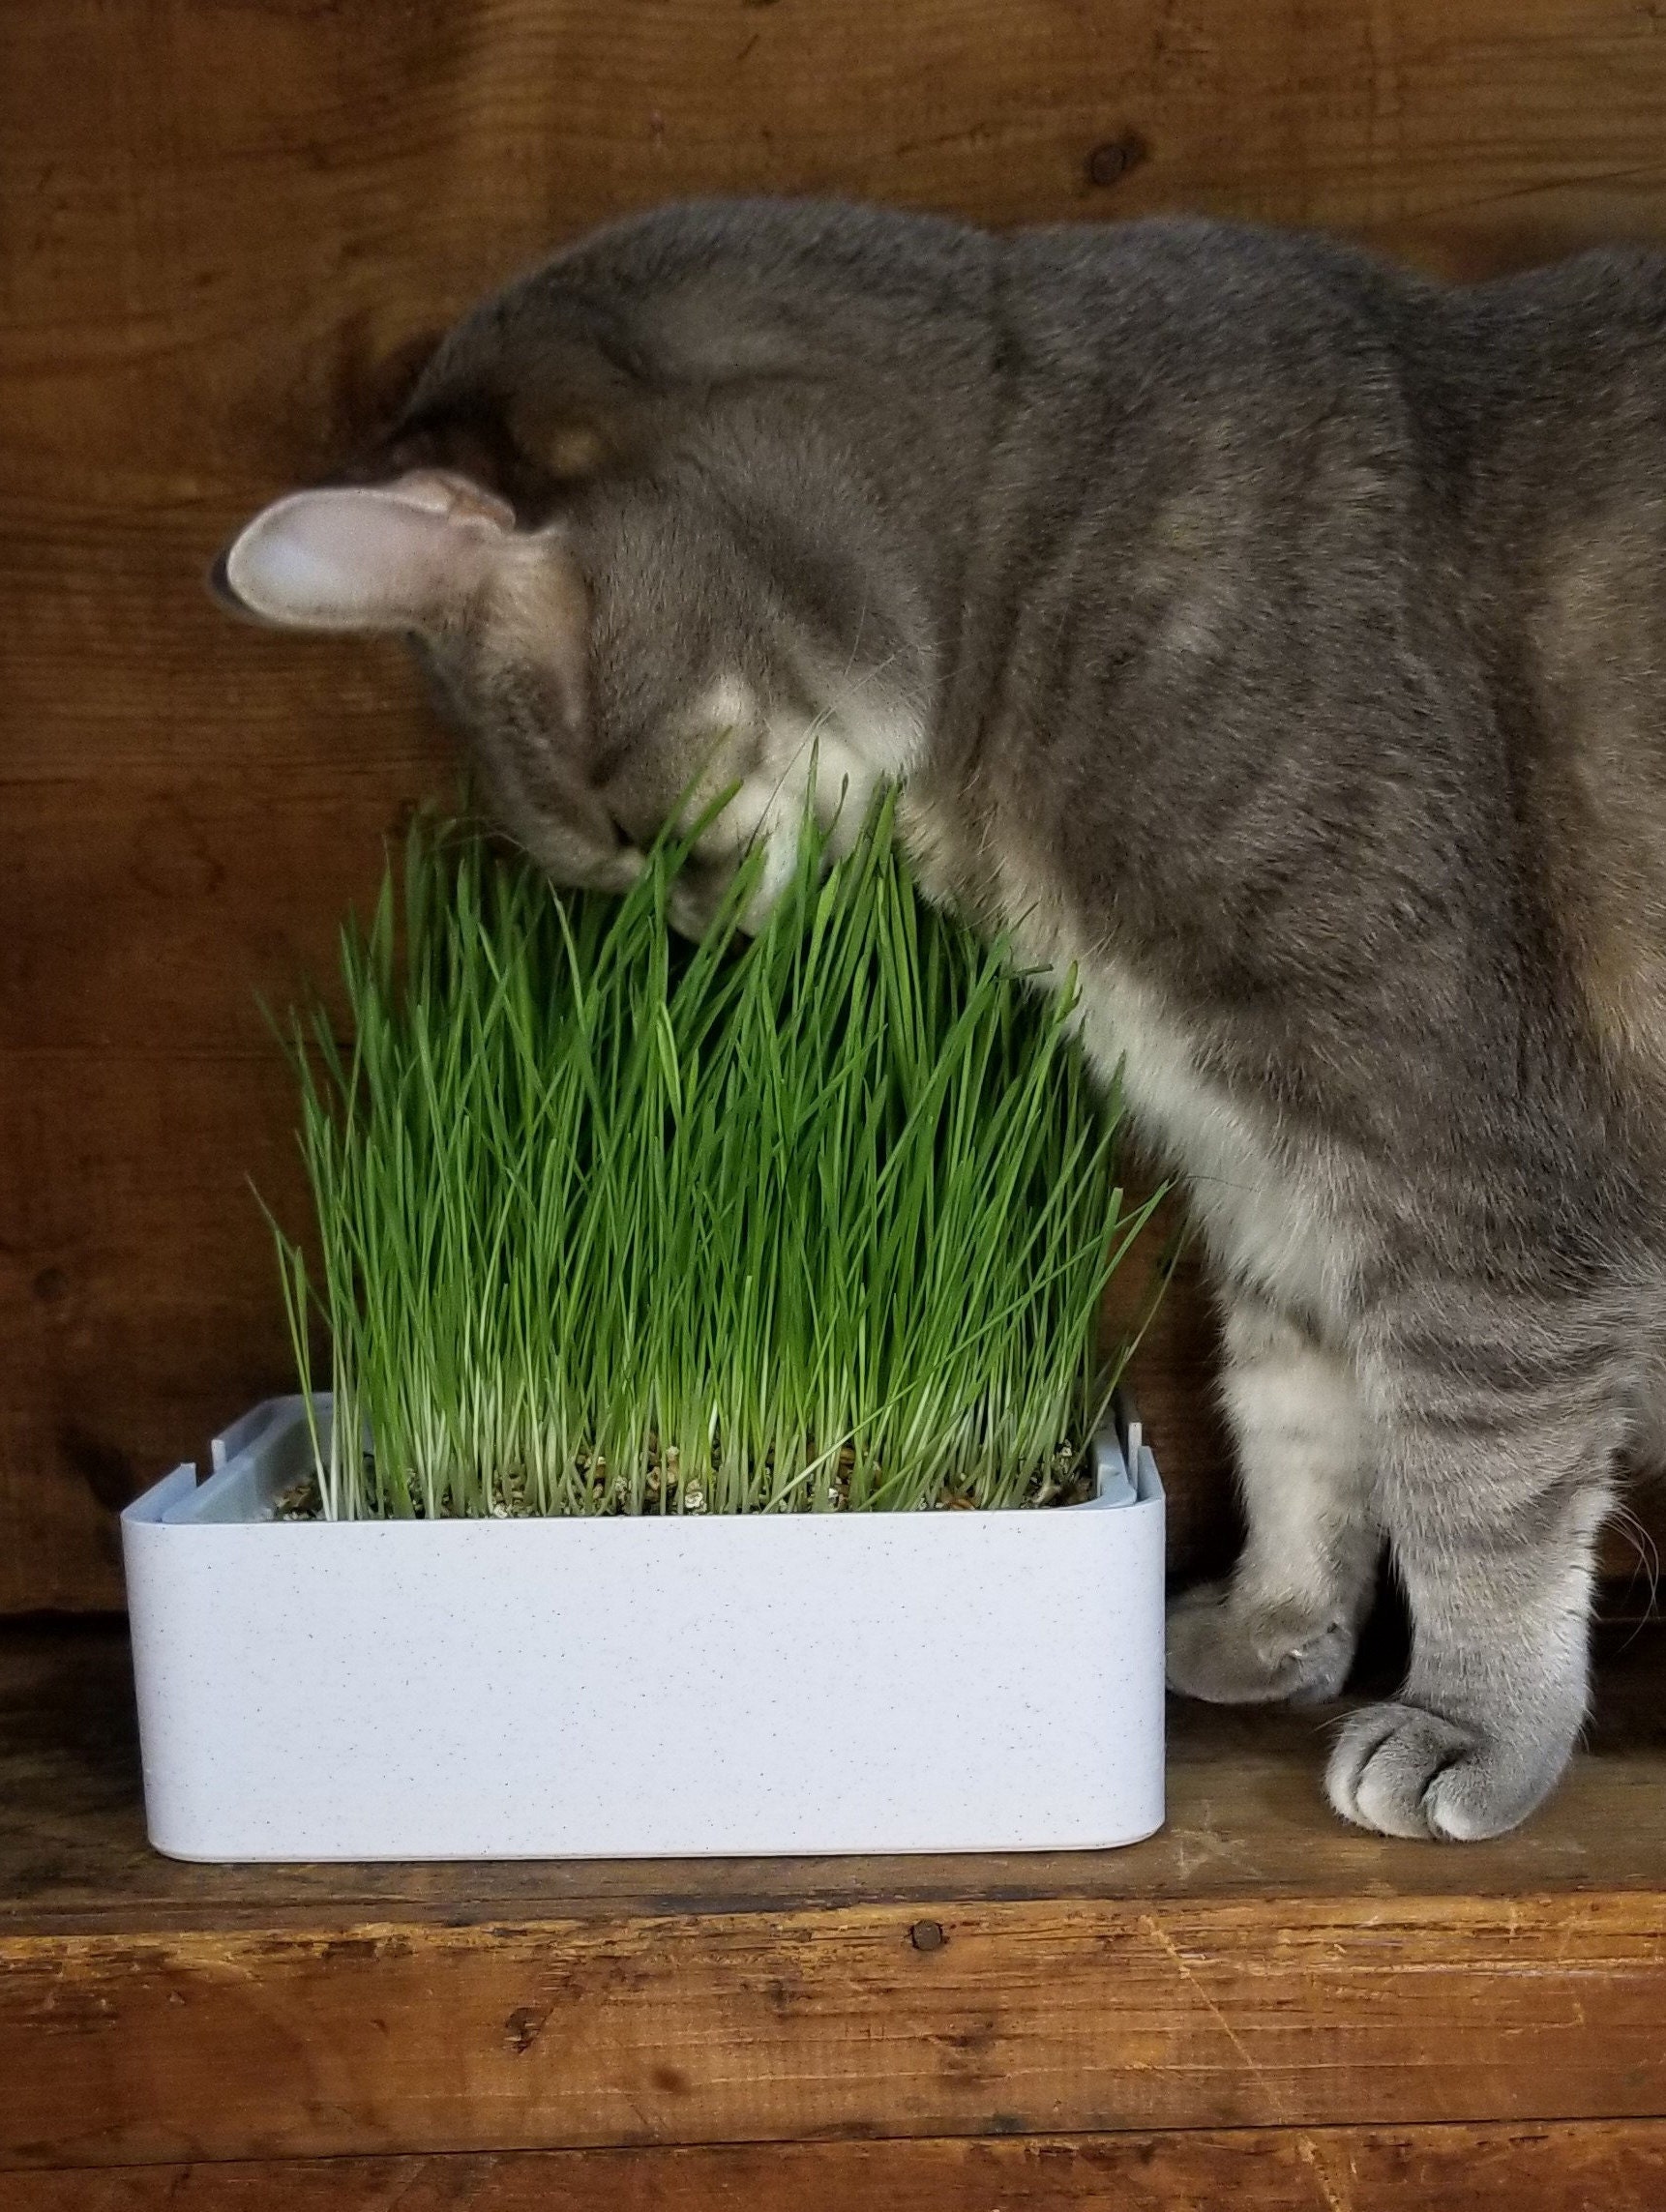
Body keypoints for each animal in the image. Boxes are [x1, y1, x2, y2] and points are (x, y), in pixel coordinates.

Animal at [221, 203, 1663, 1831]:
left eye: (638, 832)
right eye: (606, 867)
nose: (692, 938)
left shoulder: (1458, 1153)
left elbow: (1473, 1473)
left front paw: (1474, 1726)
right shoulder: (1261, 1162)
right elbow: (1293, 1415)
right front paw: (1268, 1623)